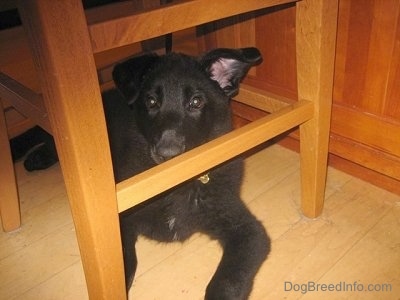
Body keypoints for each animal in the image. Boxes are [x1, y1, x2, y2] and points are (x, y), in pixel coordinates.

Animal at [106, 47, 270, 300]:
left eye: (196, 101)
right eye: (151, 101)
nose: (167, 153)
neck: (176, 182)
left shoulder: (248, 231)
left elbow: (227, 282)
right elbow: (124, 261)